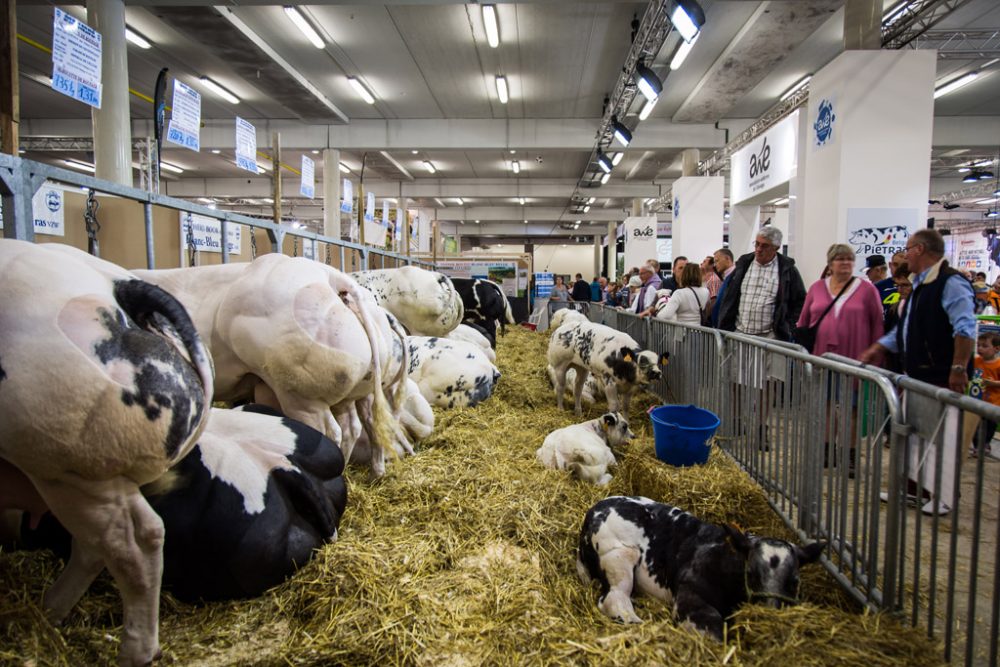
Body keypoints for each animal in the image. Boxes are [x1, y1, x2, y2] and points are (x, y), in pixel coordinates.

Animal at [0, 240, 213, 667]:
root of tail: (120, 287)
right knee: (95, 545)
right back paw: (46, 614)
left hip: (66, 464)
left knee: (134, 542)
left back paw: (132, 652)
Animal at [131, 253, 408, 478]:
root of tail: (332, 278)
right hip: (358, 390)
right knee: (363, 424)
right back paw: (375, 472)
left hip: (300, 394)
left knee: (330, 432)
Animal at [576, 498, 824, 640]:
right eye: (751, 574)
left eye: (794, 582)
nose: (770, 617)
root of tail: (594, 510)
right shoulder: (690, 595)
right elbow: (715, 631)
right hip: (618, 555)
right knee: (615, 597)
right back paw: (639, 625)